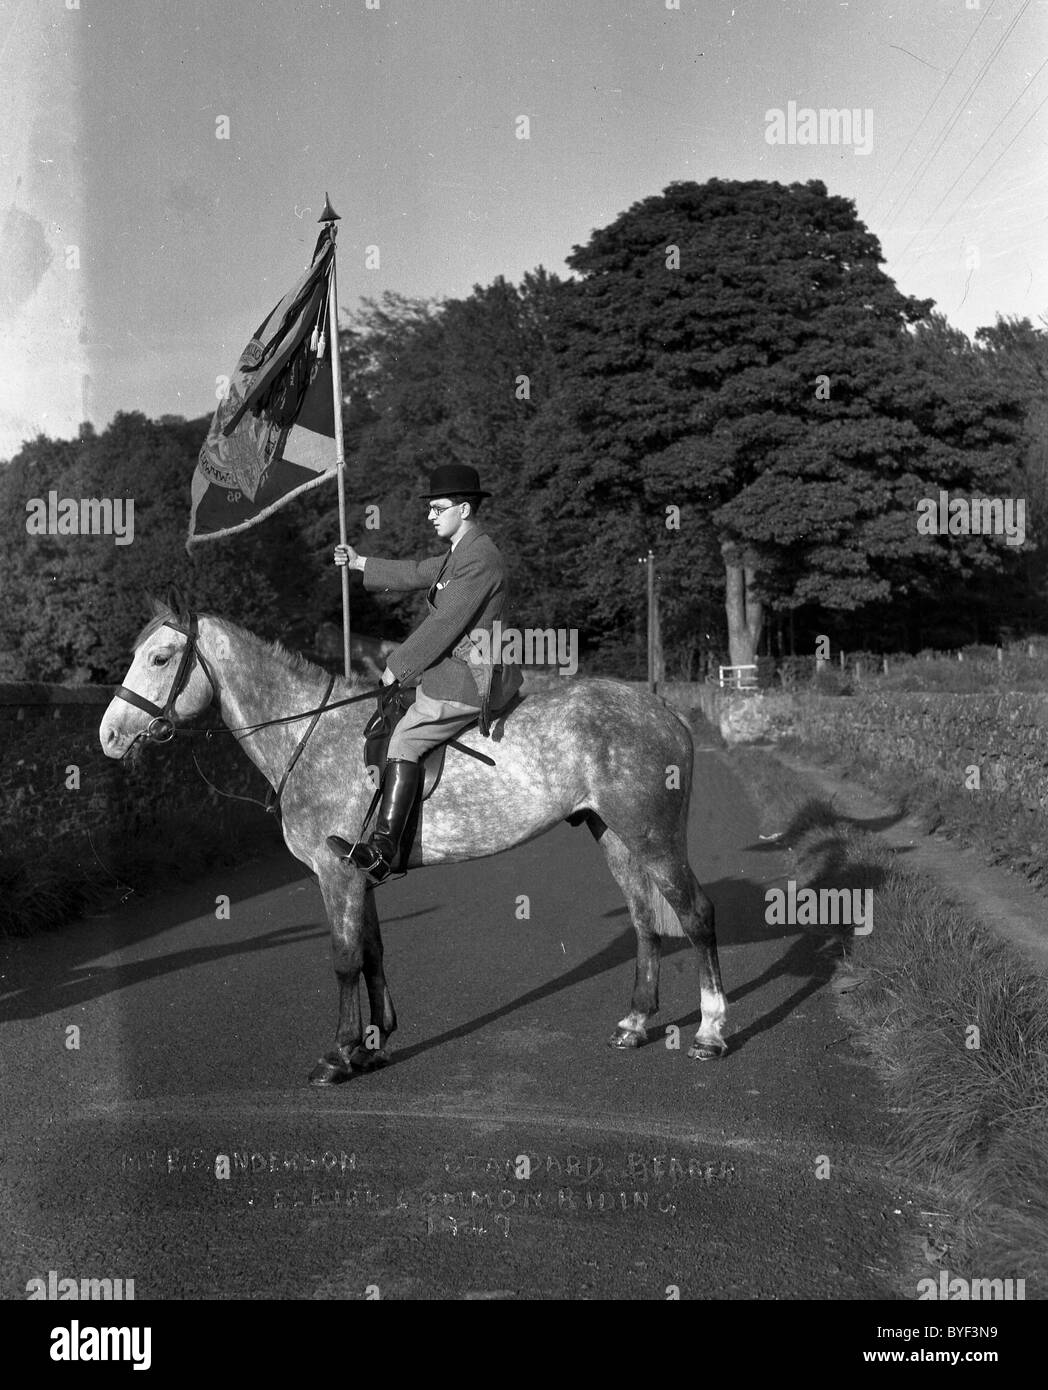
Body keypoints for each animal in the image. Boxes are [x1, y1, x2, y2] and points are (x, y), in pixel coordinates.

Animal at [102, 603, 728, 1078]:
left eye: (160, 658)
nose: (108, 735)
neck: (309, 732)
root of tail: (663, 710)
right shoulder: (359, 874)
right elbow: (373, 952)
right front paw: (372, 1044)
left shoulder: (335, 874)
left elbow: (344, 959)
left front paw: (339, 1055)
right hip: (617, 837)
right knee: (645, 921)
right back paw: (635, 1023)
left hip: (653, 837)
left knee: (696, 915)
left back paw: (711, 1033)